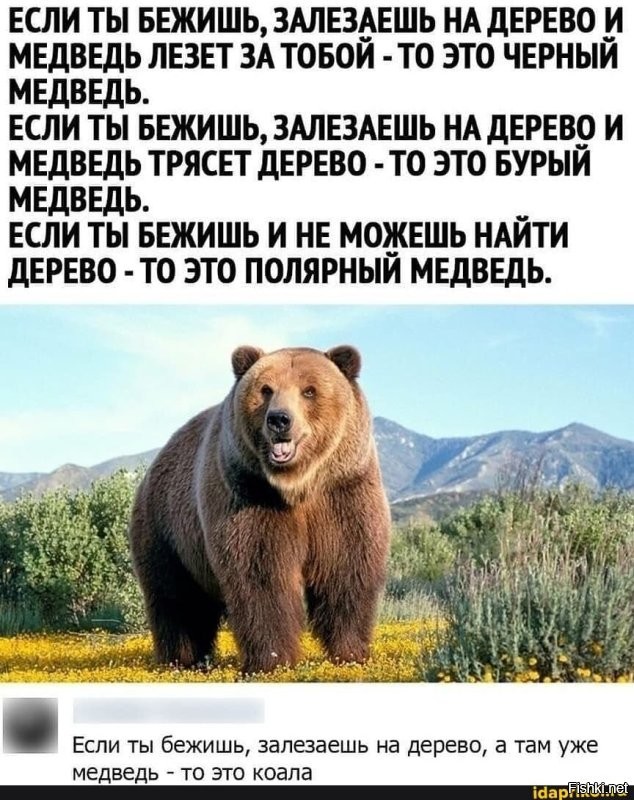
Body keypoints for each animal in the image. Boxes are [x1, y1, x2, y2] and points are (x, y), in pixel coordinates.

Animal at [128, 345, 391, 675]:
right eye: (266, 389)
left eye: (309, 390)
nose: (279, 419)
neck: (297, 486)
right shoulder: (249, 495)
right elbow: (261, 575)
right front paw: (272, 660)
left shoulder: (342, 493)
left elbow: (346, 567)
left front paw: (350, 653)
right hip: (167, 531)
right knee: (177, 599)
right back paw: (182, 660)